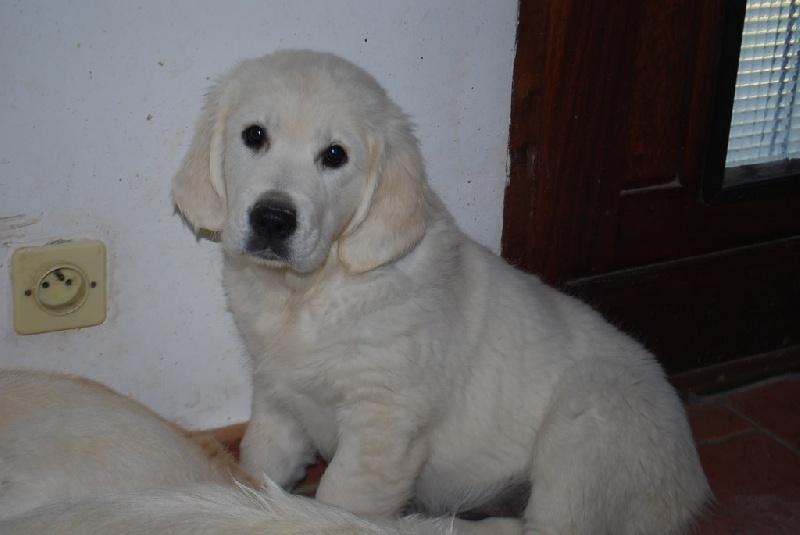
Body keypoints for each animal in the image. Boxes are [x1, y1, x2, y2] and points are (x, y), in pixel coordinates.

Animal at [172, 48, 708, 532]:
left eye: (335, 155)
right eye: (254, 135)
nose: (272, 219)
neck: (310, 293)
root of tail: (693, 481)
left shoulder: (383, 428)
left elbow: (339, 503)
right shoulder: (277, 401)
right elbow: (259, 466)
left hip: (585, 436)